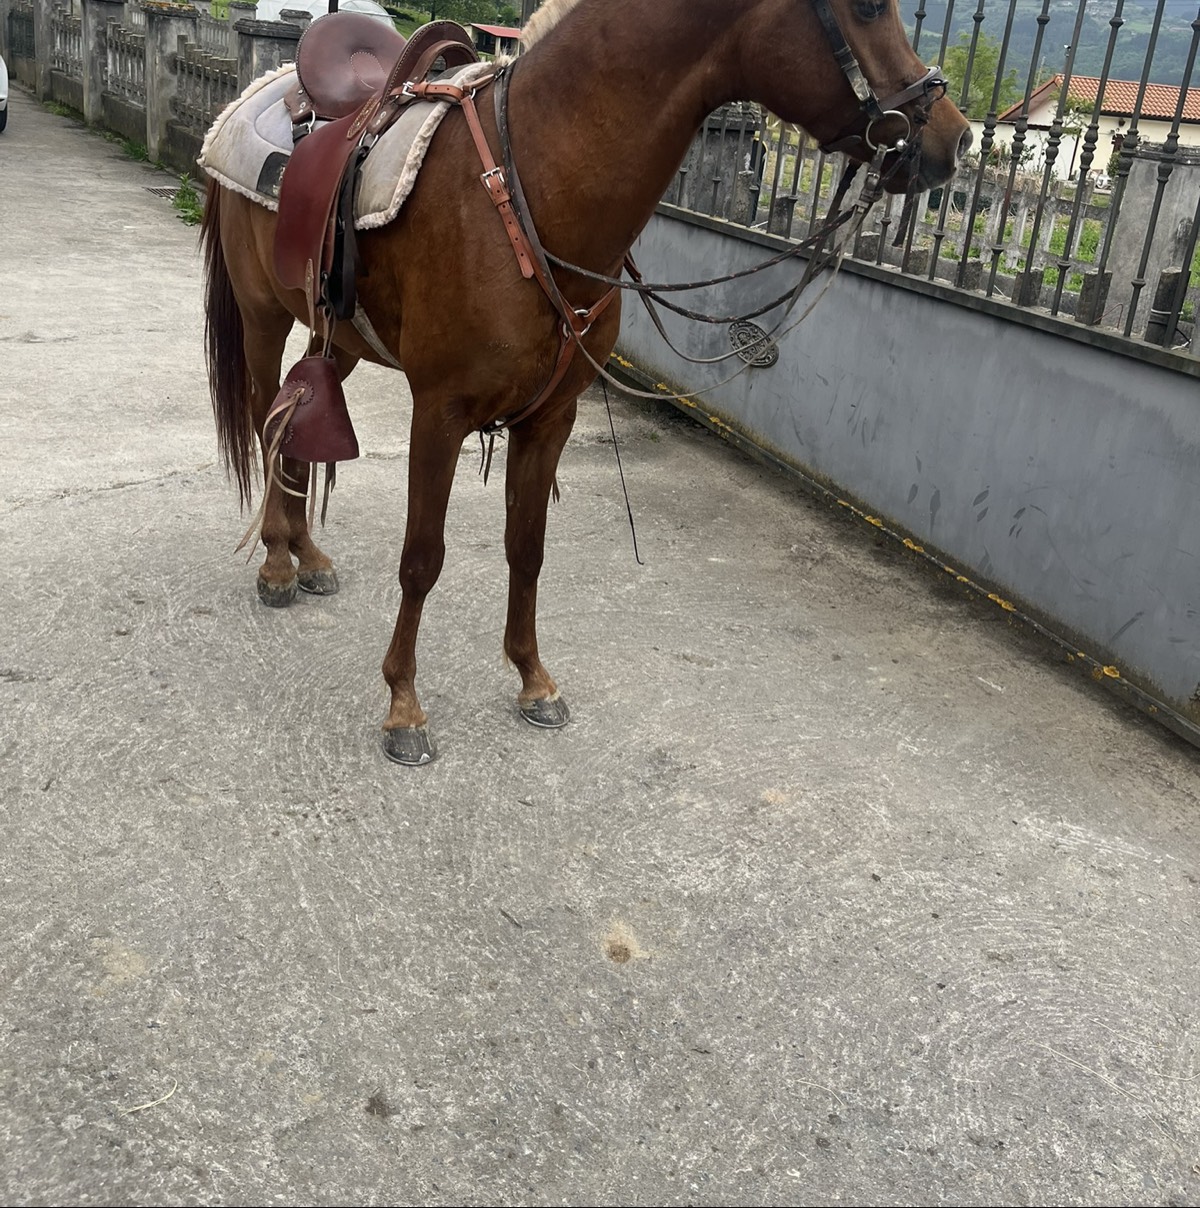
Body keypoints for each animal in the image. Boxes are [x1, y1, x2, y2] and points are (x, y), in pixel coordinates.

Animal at [201, 0, 972, 765]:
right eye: (867, 8)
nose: (954, 139)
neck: (528, 194)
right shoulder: (439, 413)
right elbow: (422, 558)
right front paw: (404, 706)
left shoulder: (552, 419)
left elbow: (528, 548)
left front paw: (532, 679)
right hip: (264, 316)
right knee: (268, 418)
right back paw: (277, 564)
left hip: (340, 338)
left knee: (297, 421)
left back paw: (307, 555)